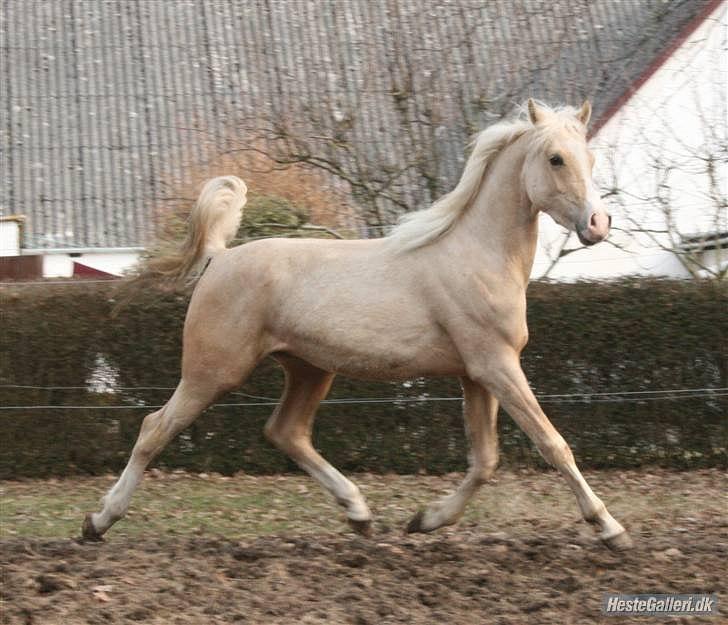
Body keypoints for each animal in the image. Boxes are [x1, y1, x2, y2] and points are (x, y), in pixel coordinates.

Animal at [84, 100, 632, 548]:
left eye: (591, 159)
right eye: (555, 158)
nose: (598, 224)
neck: (476, 255)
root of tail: (219, 258)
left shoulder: (477, 374)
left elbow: (484, 461)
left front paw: (424, 520)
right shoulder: (496, 366)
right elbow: (552, 443)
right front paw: (610, 528)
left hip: (308, 369)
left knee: (286, 432)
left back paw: (360, 514)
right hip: (213, 372)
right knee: (155, 428)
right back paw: (97, 522)